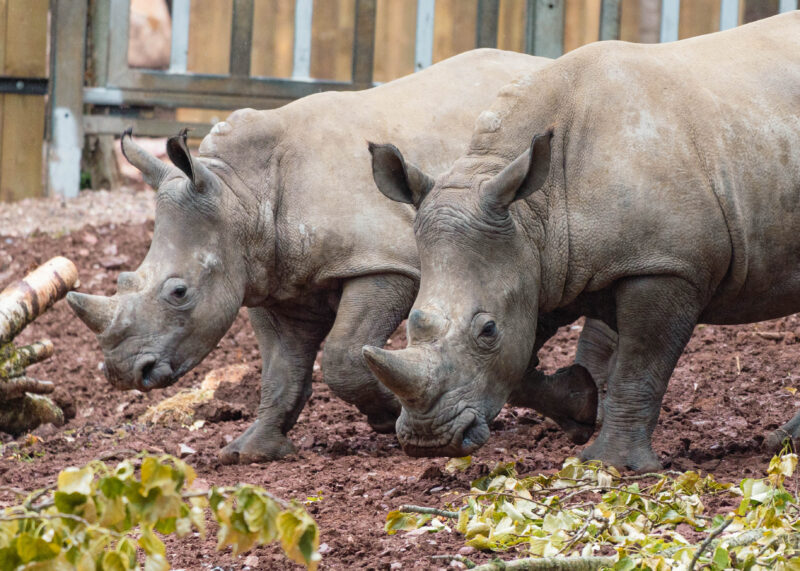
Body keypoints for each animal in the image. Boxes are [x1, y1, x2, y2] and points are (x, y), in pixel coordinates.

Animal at [66, 49, 602, 464]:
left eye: (179, 292)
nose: (123, 372)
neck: (239, 193)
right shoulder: (273, 280)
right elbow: (280, 368)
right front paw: (251, 452)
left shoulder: (382, 262)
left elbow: (344, 356)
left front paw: (388, 415)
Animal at [365, 13, 800, 471]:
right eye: (412, 323)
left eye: (488, 330)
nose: (427, 440)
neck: (534, 211)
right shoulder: (545, 264)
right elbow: (522, 365)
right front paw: (580, 406)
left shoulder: (666, 265)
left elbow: (639, 366)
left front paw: (613, 465)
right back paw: (780, 443)